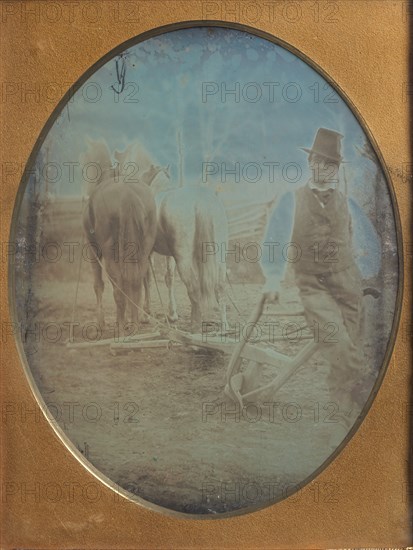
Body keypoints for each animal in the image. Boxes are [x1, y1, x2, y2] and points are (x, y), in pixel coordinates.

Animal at [80, 140, 158, 334]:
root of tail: (127, 195)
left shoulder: (92, 249)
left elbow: (98, 284)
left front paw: (101, 322)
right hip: (143, 249)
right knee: (137, 281)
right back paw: (134, 322)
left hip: (110, 252)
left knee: (119, 283)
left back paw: (122, 325)